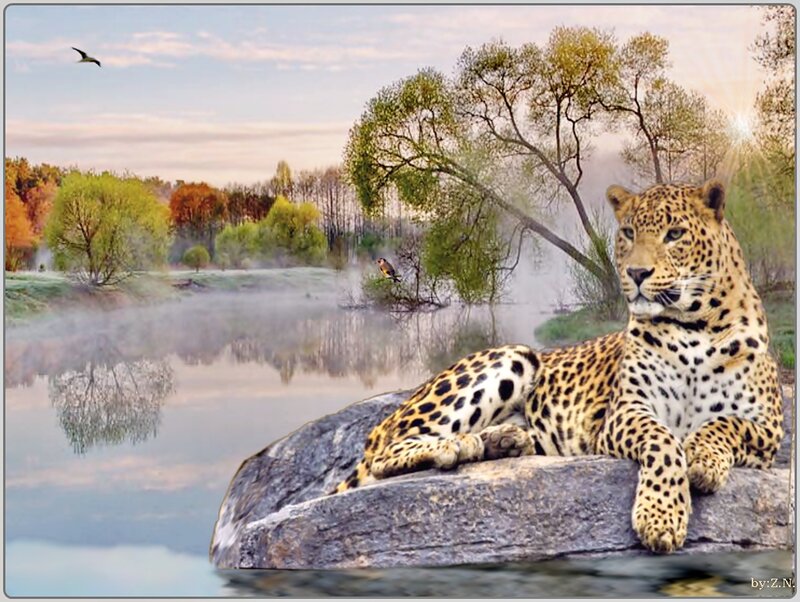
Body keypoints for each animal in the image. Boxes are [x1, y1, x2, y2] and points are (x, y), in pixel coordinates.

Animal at [333, 179, 784, 554]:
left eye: (675, 234)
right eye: (628, 233)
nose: (636, 273)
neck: (695, 325)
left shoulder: (769, 428)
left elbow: (725, 424)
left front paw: (704, 462)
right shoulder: (626, 412)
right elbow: (663, 443)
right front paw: (660, 518)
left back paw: (504, 440)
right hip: (512, 357)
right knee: (386, 452)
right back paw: (455, 445)